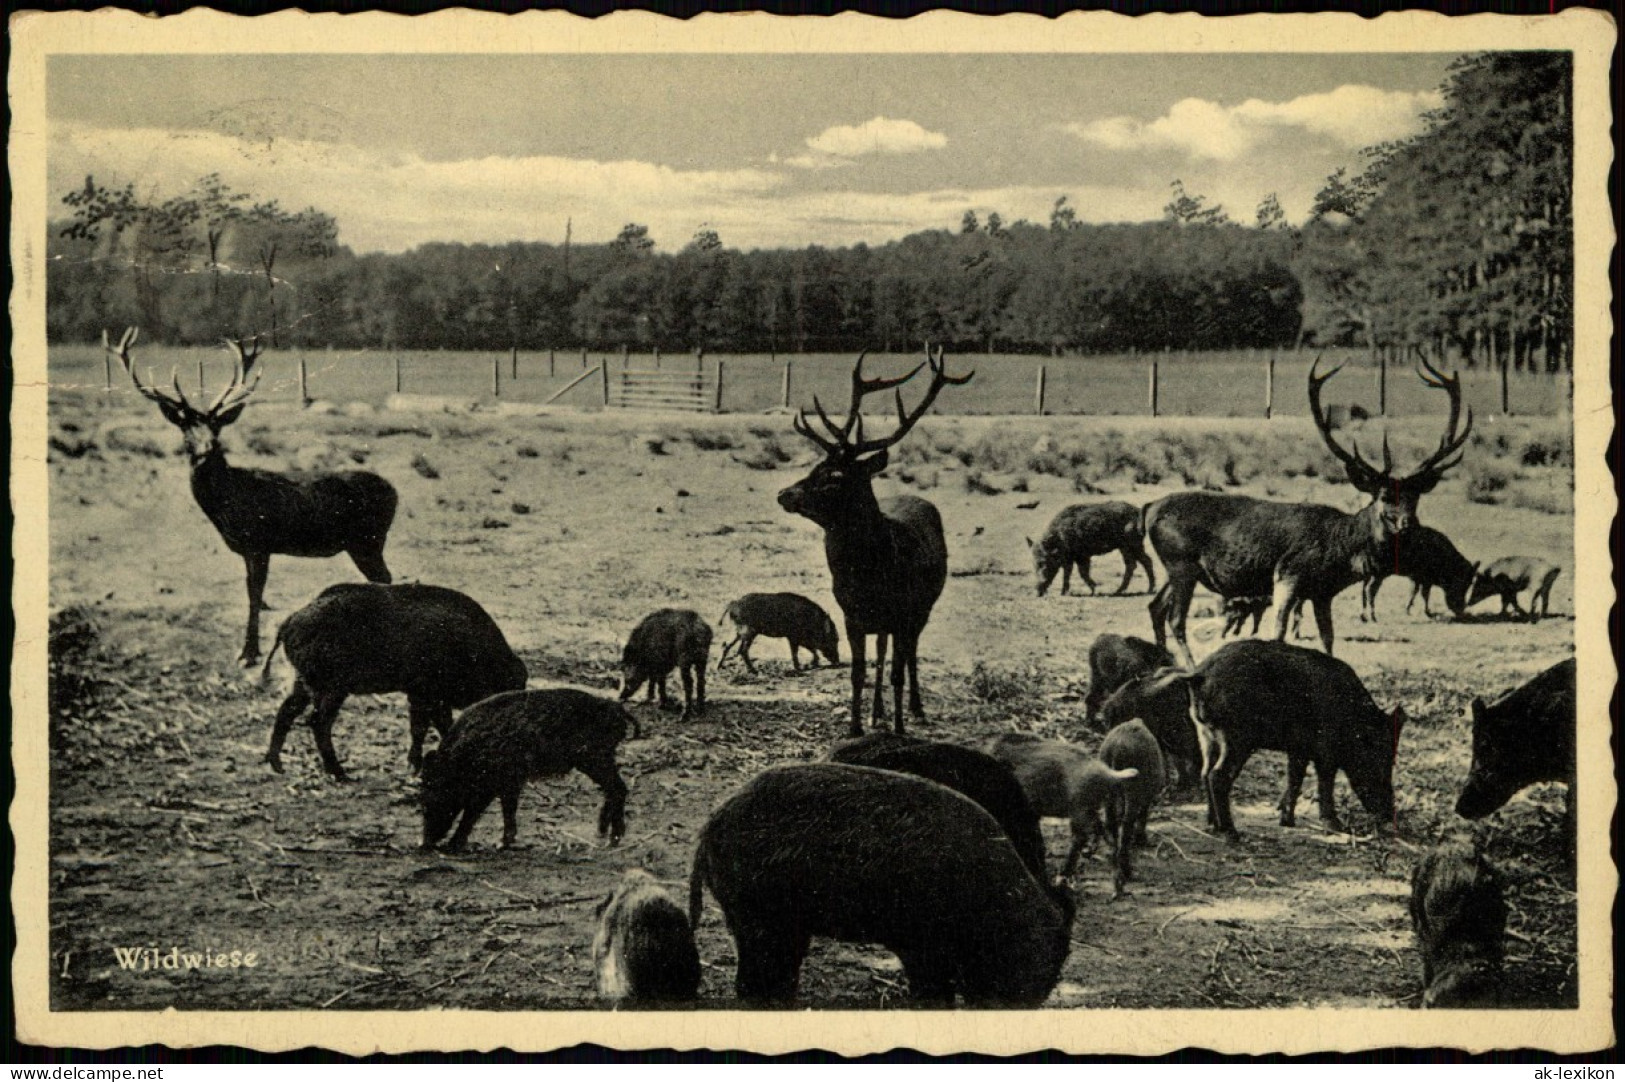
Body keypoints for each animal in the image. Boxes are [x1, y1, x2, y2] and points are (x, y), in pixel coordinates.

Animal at [108, 324, 399, 662]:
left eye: (216, 426)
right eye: (186, 428)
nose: (208, 447)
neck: (228, 503)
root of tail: (395, 492)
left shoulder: (259, 542)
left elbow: (254, 594)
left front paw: (248, 652)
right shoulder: (249, 548)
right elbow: (254, 594)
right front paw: (249, 649)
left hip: (368, 540)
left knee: (385, 578)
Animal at [780, 346, 968, 734]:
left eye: (834, 477)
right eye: (815, 468)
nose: (784, 494)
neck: (870, 574)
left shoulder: (904, 612)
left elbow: (898, 671)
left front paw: (899, 729)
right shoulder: (852, 615)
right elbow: (858, 673)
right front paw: (855, 727)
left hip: (922, 608)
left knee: (909, 654)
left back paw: (914, 709)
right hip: (882, 622)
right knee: (882, 653)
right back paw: (877, 713)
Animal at [1144, 355, 1475, 656]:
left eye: (1415, 497)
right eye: (1383, 497)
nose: (1409, 523)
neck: (1341, 551)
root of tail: (1149, 508)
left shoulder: (1322, 593)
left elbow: (1328, 639)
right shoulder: (1289, 574)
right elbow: (1278, 632)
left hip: (1176, 568)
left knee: (1155, 606)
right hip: (1181, 563)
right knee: (1176, 619)